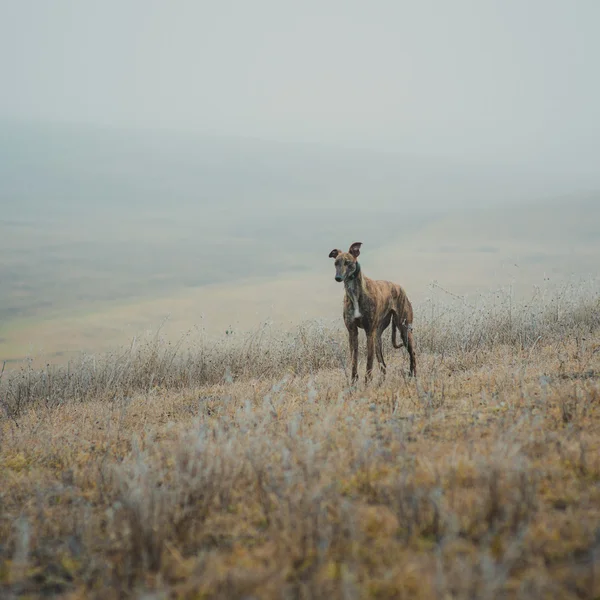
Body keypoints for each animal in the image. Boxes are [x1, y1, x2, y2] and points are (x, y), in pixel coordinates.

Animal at [330, 241, 414, 382]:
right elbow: (354, 360)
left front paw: (367, 383)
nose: (338, 277)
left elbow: (369, 363)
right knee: (383, 364)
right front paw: (353, 383)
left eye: (347, 262)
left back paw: (413, 376)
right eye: (336, 263)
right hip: (378, 336)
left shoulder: (369, 332)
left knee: (412, 354)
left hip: (404, 329)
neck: (355, 292)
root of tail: (399, 287)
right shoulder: (353, 332)